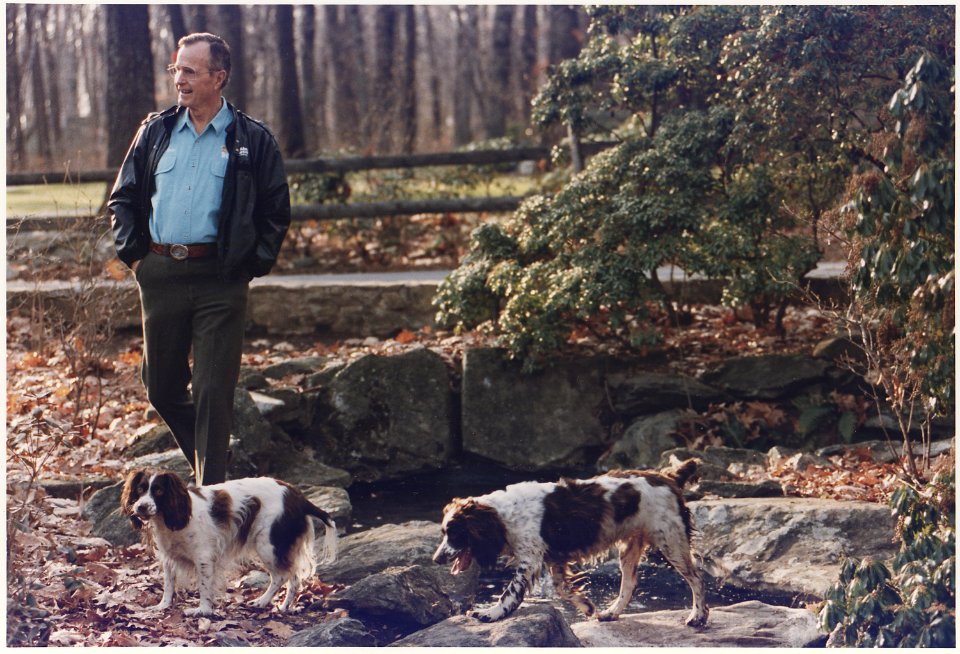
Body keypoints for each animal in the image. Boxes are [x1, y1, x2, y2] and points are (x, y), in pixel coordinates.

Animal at [121, 468, 338, 616]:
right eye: (140, 489)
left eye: (158, 491)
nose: (140, 507)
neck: (171, 517)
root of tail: (299, 497)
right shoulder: (168, 557)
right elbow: (168, 584)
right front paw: (163, 606)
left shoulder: (204, 558)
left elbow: (204, 587)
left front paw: (202, 611)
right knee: (294, 577)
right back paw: (284, 606)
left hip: (268, 545)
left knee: (281, 576)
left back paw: (262, 601)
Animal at [434, 458, 704, 628]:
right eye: (444, 532)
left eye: (454, 534)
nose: (436, 559)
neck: (502, 516)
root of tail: (667, 478)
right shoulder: (554, 559)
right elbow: (562, 588)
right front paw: (586, 606)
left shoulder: (530, 561)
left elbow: (509, 593)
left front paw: (490, 614)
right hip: (631, 548)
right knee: (629, 584)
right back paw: (610, 613)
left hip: (671, 540)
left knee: (696, 578)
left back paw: (698, 617)